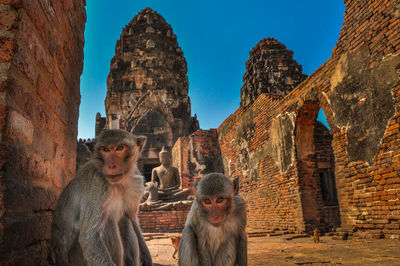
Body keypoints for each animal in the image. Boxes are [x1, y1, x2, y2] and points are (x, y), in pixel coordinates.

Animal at [50, 129, 153, 266]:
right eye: (105, 149)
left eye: (120, 148)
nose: (111, 166)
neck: (119, 184)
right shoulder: (98, 184)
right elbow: (89, 236)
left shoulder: (136, 182)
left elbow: (132, 219)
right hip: (78, 259)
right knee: (108, 220)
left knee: (124, 220)